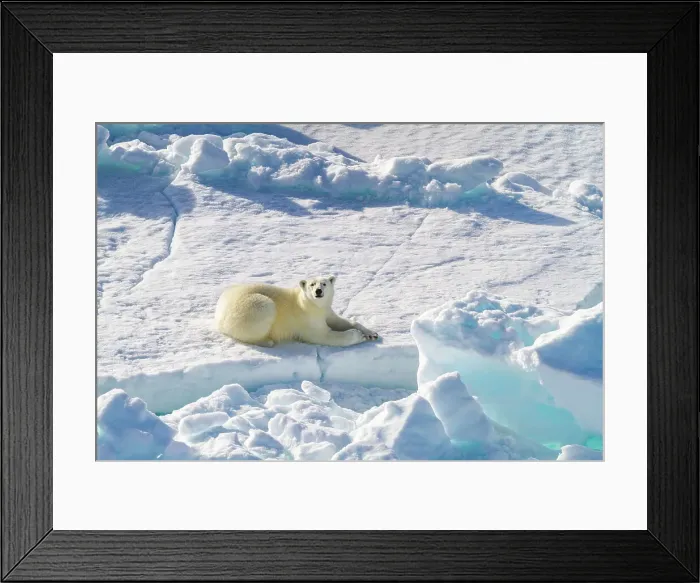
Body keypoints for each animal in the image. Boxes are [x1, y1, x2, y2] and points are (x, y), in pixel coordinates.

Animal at [214, 275, 379, 347]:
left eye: (324, 283)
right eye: (312, 284)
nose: (318, 291)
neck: (310, 305)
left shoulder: (325, 311)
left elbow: (338, 321)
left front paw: (371, 333)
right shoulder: (306, 318)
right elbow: (323, 335)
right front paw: (359, 336)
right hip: (251, 307)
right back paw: (267, 341)